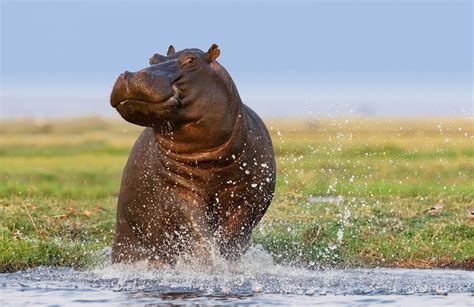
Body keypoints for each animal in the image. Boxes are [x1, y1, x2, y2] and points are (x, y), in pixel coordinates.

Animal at [109, 44, 276, 266]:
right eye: (152, 58)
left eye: (191, 60)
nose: (131, 75)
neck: (212, 161)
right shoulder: (179, 190)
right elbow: (198, 231)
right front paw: (209, 264)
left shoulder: (249, 194)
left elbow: (234, 235)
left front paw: (229, 264)